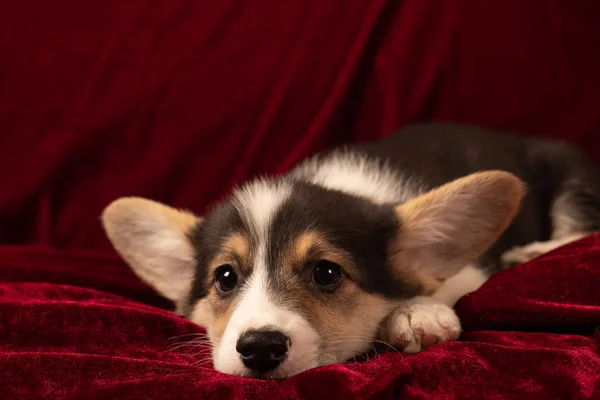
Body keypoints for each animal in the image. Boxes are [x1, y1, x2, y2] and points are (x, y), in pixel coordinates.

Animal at [101, 124, 600, 378]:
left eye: (327, 273)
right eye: (225, 278)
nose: (260, 348)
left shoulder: (468, 271)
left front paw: (415, 313)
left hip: (574, 178)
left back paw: (531, 254)